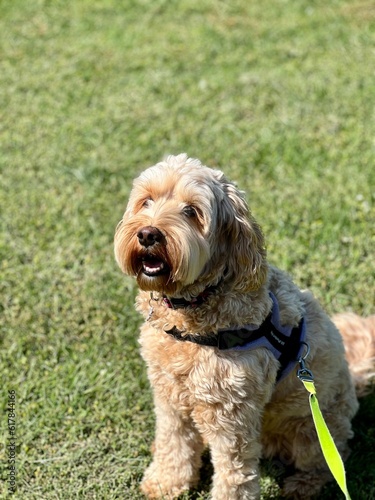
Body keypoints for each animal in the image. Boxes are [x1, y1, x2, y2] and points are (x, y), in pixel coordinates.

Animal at [113, 154, 374, 498]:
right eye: (146, 201)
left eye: (191, 211)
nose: (147, 234)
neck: (192, 309)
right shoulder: (168, 394)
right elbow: (174, 440)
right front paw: (166, 481)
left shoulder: (231, 415)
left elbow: (233, 473)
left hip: (312, 429)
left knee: (330, 461)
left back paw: (302, 485)